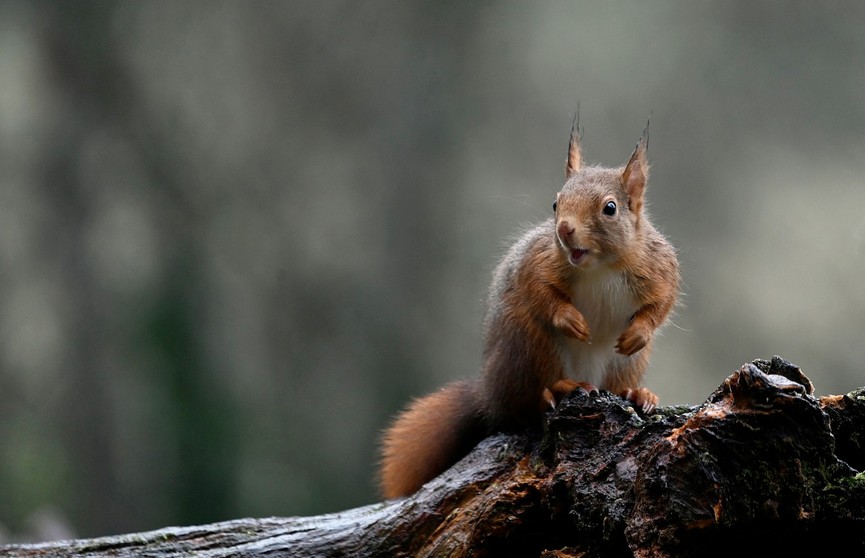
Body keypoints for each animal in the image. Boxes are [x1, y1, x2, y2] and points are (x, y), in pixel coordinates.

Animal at [382, 122, 680, 498]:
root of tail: (488, 395)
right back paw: (557, 391)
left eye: (610, 208)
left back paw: (637, 394)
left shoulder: (659, 267)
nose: (564, 229)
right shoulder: (537, 261)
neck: (600, 267)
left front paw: (638, 333)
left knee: (614, 384)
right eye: (555, 203)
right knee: (521, 408)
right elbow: (538, 290)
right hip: (529, 345)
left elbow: (662, 302)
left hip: (623, 364)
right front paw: (571, 320)